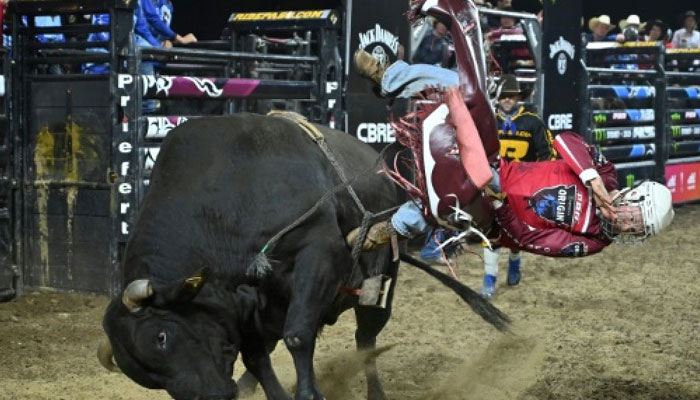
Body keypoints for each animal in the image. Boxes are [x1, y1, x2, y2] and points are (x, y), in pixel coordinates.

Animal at [100, 113, 508, 400]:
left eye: (162, 336)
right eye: (150, 377)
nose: (212, 396)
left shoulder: (317, 250)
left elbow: (297, 336)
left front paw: (310, 393)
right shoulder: (243, 304)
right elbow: (256, 354)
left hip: (380, 287)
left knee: (365, 340)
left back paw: (375, 390)